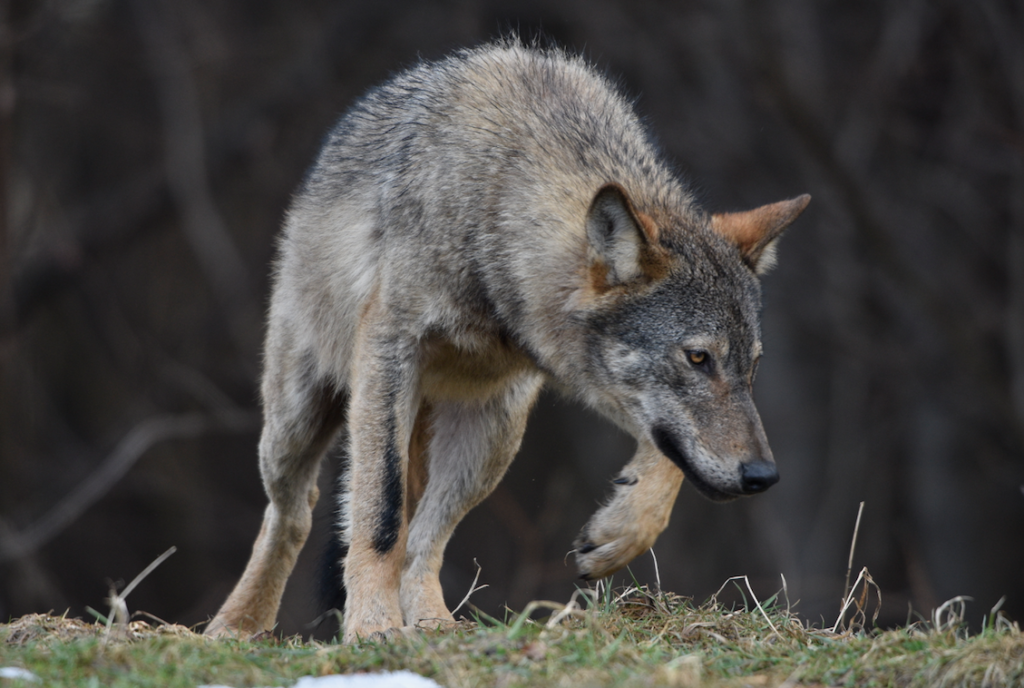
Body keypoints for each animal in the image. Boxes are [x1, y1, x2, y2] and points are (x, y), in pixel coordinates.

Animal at [201, 38, 806, 638]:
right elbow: (379, 513)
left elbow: (670, 454)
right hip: (298, 422)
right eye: (698, 357)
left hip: (493, 431)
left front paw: (621, 531)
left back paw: (434, 624)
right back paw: (239, 624)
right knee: (295, 511)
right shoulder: (388, 351)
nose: (764, 476)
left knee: (424, 541)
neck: (493, 207)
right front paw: (372, 626)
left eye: (751, 366)